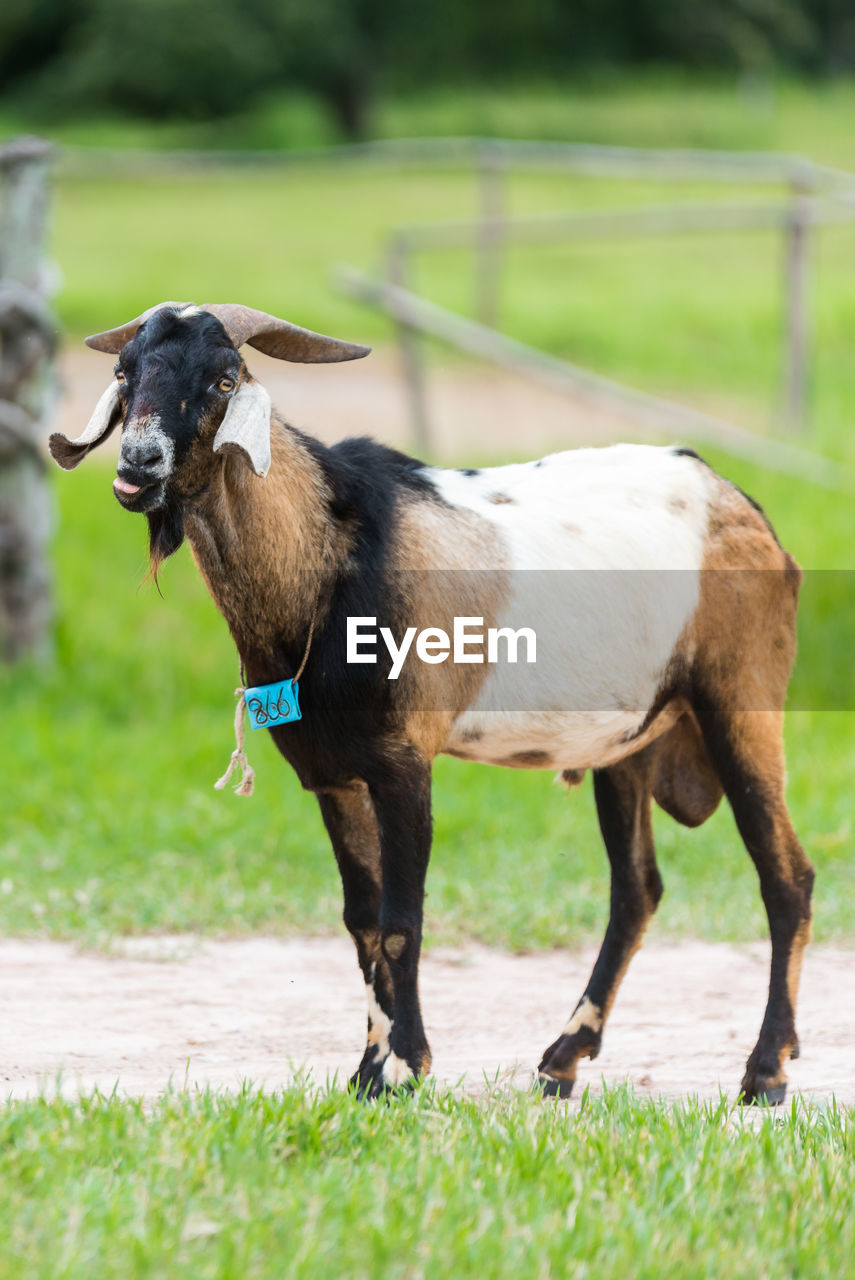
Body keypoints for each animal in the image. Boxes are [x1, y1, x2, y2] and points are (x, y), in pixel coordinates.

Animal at [50, 299, 814, 1100]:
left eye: (225, 378)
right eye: (123, 373)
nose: (138, 465)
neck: (326, 563)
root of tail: (742, 505)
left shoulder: (403, 760)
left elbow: (400, 921)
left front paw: (403, 1068)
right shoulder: (333, 774)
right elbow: (361, 919)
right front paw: (368, 1070)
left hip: (741, 697)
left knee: (785, 876)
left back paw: (764, 1070)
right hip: (627, 741)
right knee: (636, 889)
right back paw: (562, 1058)